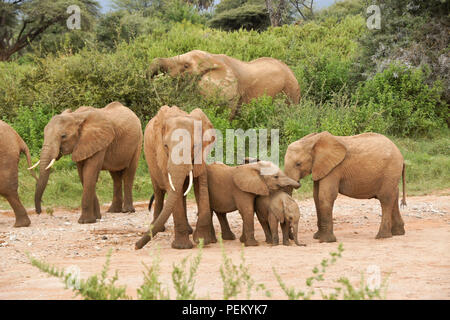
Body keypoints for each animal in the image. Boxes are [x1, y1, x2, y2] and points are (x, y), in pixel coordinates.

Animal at [134, 105, 215, 250]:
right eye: (166, 146)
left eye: (194, 147)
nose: (136, 246)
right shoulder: (162, 155)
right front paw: (182, 247)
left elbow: (201, 186)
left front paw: (202, 240)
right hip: (150, 161)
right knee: (159, 192)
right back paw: (158, 228)